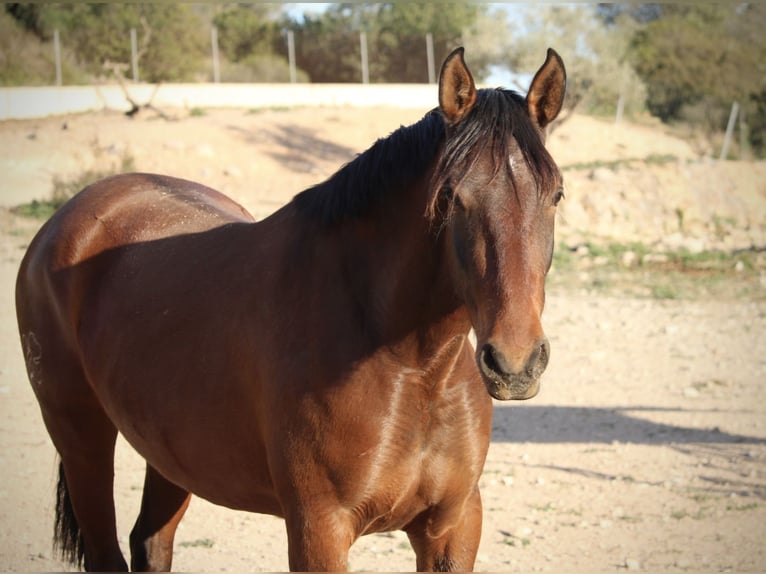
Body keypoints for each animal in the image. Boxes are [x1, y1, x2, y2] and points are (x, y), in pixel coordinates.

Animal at [15, 47, 568, 572]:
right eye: (452, 197)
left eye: (556, 195)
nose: (515, 365)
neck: (410, 367)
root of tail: (69, 218)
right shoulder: (318, 529)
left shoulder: (453, 526)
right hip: (81, 438)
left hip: (169, 452)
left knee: (150, 543)